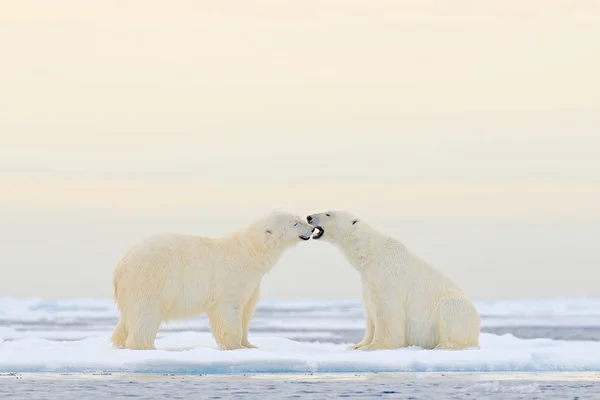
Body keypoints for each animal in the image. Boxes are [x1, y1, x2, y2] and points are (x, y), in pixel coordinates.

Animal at [113, 212, 318, 350]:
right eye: (295, 223)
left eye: (299, 219)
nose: (312, 228)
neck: (251, 252)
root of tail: (122, 263)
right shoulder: (232, 278)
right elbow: (229, 309)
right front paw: (234, 346)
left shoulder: (252, 283)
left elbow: (246, 310)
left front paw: (249, 345)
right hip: (151, 279)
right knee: (145, 315)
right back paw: (145, 347)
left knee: (128, 318)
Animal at [308, 211, 480, 352]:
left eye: (328, 213)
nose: (309, 217)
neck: (372, 254)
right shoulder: (368, 281)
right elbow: (370, 312)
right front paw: (357, 345)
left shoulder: (387, 275)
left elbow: (386, 312)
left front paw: (374, 346)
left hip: (453, 307)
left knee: (452, 311)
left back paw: (446, 344)